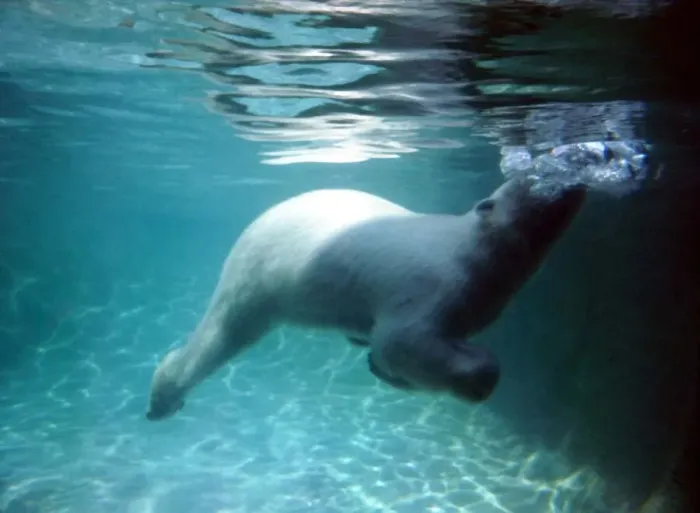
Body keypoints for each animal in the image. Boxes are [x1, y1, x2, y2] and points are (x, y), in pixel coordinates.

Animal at [145, 177, 586, 421]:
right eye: (532, 176)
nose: (576, 178)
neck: (474, 251)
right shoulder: (434, 285)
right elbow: (402, 341)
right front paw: (476, 374)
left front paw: (383, 368)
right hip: (260, 274)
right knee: (223, 334)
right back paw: (163, 396)